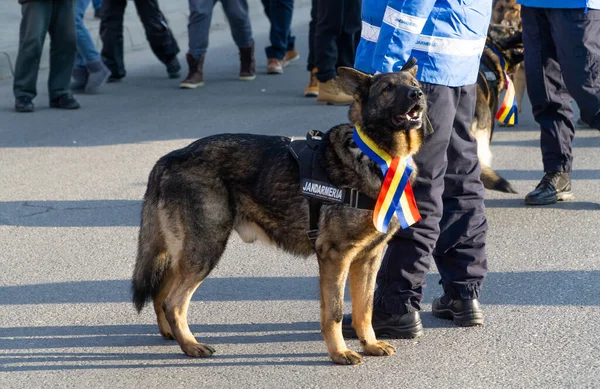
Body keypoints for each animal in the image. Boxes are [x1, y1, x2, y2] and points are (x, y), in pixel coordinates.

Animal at [134, 66, 428, 364]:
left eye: (414, 82)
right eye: (388, 88)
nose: (418, 94)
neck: (375, 155)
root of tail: (169, 157)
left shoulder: (368, 259)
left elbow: (364, 308)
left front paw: (369, 344)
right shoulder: (335, 257)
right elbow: (333, 313)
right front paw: (340, 352)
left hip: (188, 253)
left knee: (161, 293)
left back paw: (172, 334)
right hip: (206, 249)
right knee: (174, 302)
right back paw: (191, 344)